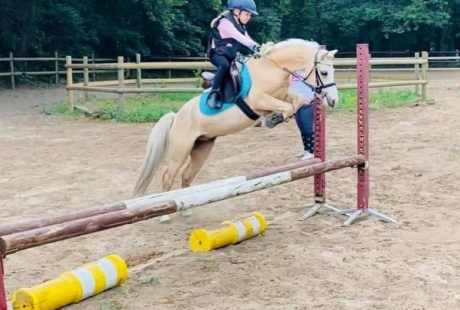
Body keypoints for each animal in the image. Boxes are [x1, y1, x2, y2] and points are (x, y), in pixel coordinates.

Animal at [132, 40, 338, 197]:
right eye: (324, 72)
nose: (333, 100)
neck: (271, 68)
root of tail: (176, 117)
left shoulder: (280, 97)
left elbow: (297, 100)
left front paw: (274, 118)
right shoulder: (259, 100)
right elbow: (287, 107)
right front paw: (273, 119)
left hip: (202, 147)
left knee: (187, 175)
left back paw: (186, 209)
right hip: (179, 150)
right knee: (168, 175)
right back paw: (165, 215)